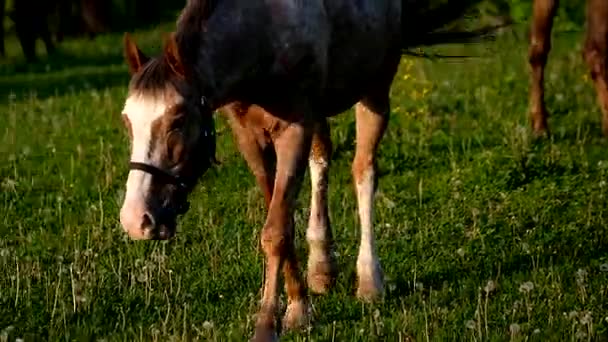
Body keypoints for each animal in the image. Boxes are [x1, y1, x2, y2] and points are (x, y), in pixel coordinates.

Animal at [117, 0, 494, 340]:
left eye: (177, 120)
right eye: (127, 121)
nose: (136, 219)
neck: (260, 35)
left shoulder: (295, 128)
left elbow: (276, 231)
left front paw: (270, 324)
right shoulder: (249, 136)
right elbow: (281, 218)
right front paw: (301, 304)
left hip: (374, 91)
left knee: (364, 172)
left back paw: (369, 280)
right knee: (322, 158)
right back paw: (323, 267)